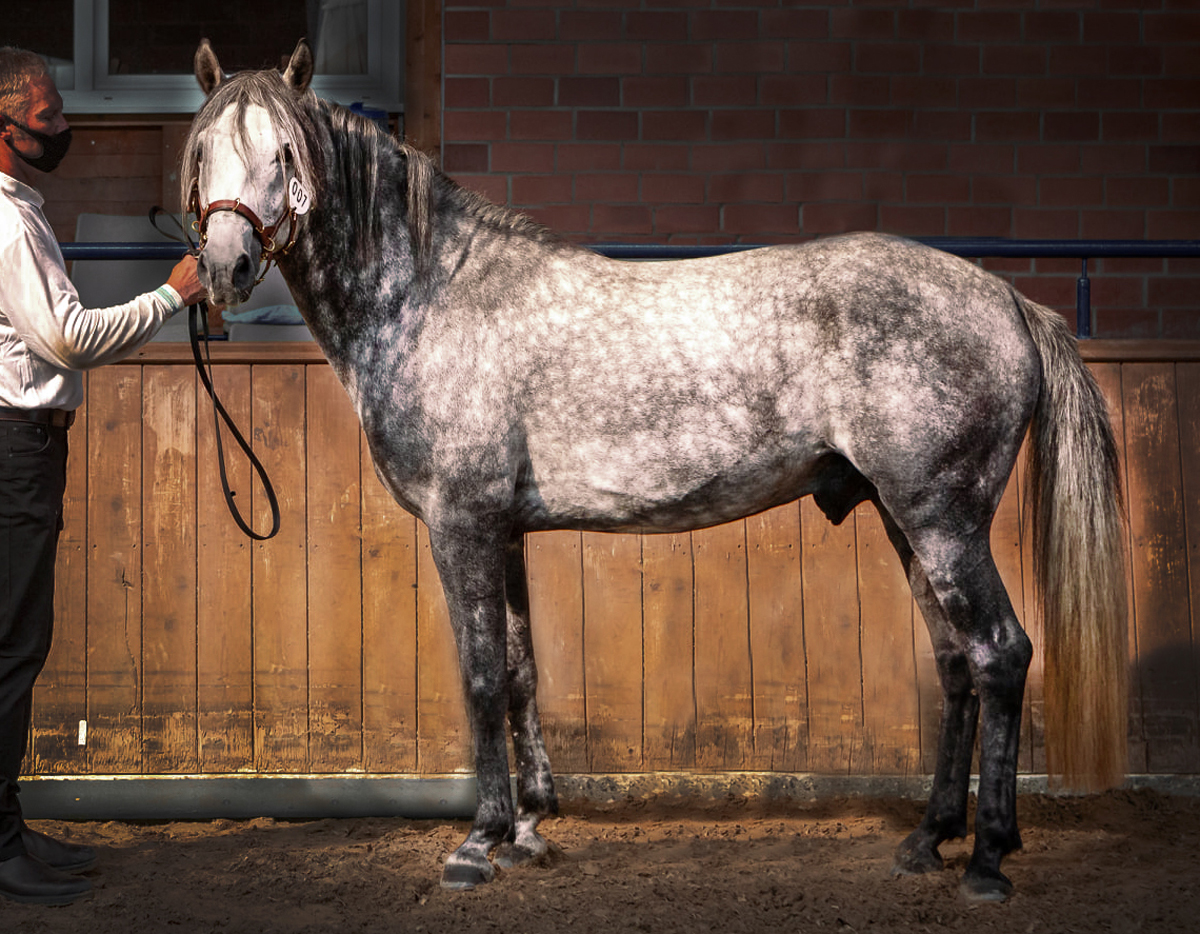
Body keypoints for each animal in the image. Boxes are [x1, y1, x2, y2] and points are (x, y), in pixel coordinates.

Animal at [185, 39, 1128, 902]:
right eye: (203, 152)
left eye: (285, 154)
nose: (226, 267)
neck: (433, 297)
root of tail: (1008, 299)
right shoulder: (505, 531)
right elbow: (521, 672)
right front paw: (529, 830)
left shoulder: (462, 525)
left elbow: (481, 677)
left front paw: (479, 843)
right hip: (909, 522)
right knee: (957, 663)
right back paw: (928, 839)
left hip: (943, 520)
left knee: (1001, 653)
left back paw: (988, 859)